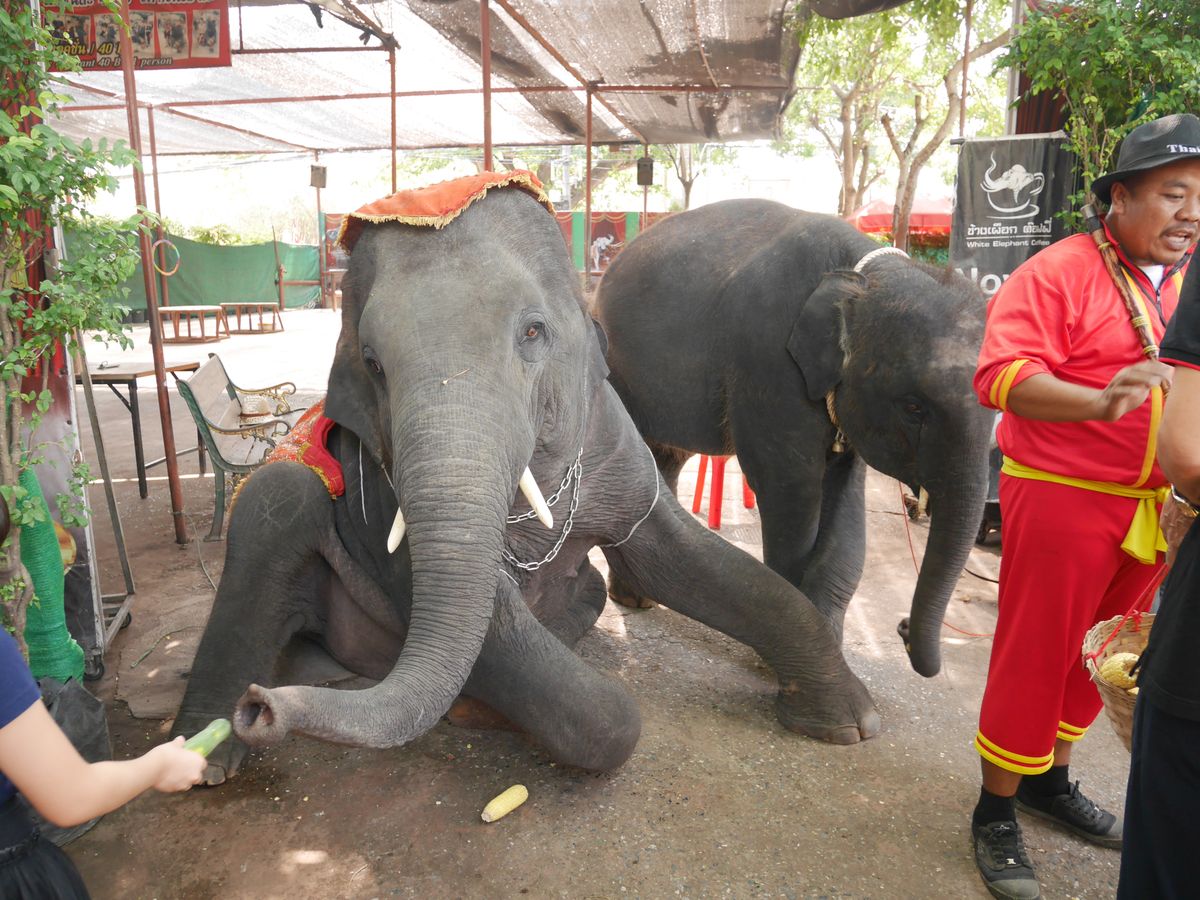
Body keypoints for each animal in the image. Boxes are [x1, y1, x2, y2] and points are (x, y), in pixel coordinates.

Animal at [171, 177, 881, 785]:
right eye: (372, 364)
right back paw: (202, 761)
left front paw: (851, 725)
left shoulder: (612, 434)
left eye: (534, 332)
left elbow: (675, 560)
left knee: (590, 590)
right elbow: (586, 700)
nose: (260, 707)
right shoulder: (377, 488)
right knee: (277, 499)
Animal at [592, 199, 994, 678]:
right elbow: (791, 490)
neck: (864, 271)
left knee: (665, 457)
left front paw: (828, 644)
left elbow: (846, 501)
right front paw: (796, 656)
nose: (902, 628)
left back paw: (639, 599)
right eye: (913, 407)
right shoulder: (769, 360)